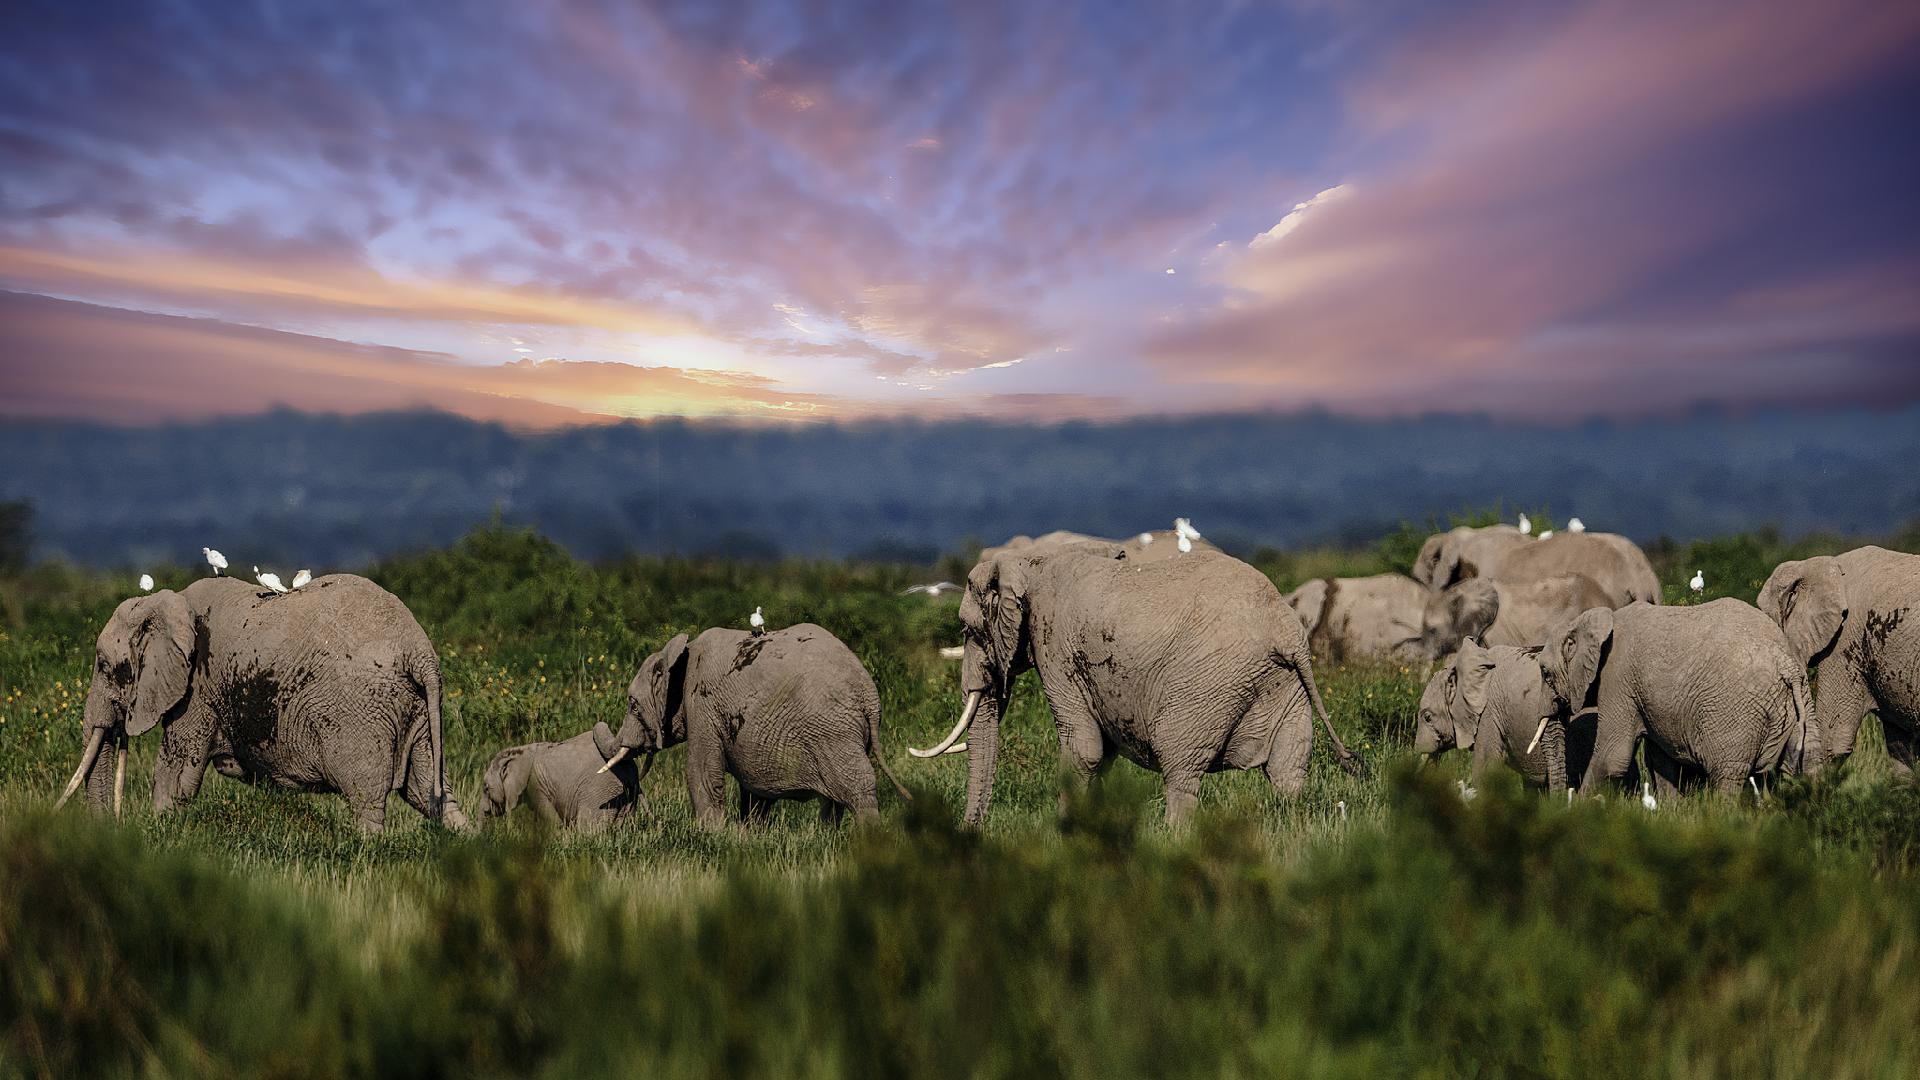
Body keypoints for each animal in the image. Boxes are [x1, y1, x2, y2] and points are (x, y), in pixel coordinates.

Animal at [58, 575, 467, 832]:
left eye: (105, 666)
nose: (115, 827)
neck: (165, 602)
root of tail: (419, 651)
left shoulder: (198, 688)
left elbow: (176, 776)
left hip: (361, 711)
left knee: (368, 799)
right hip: (417, 710)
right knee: (430, 792)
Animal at [481, 721, 648, 830]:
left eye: (486, 788)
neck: (520, 751)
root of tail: (631, 770)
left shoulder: (536, 786)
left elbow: (551, 821)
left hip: (601, 792)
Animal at [611, 623, 910, 829]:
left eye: (632, 705)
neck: (680, 653)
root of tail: (869, 695)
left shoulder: (703, 707)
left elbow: (701, 770)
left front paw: (712, 833)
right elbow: (754, 785)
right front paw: (750, 835)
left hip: (833, 730)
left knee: (856, 786)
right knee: (836, 796)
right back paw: (827, 836)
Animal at [913, 542, 1366, 826]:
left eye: (967, 629)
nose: (972, 829)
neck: (1029, 561)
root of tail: (1284, 629)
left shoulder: (1054, 646)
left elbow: (1085, 748)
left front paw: (1067, 833)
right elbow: (1104, 750)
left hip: (1207, 682)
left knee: (1181, 765)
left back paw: (1174, 836)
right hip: (1285, 685)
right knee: (1288, 769)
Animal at [1537, 599, 1821, 795]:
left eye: (1545, 673)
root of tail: (1785, 663)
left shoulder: (1617, 678)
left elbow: (1611, 757)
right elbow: (1661, 758)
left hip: (1736, 713)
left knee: (1727, 774)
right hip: (1801, 700)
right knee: (1809, 762)